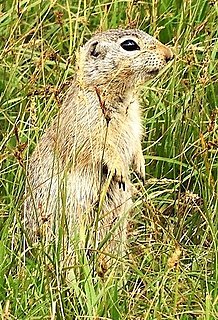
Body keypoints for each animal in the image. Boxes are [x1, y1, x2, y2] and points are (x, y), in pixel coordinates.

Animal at [24, 28, 174, 262]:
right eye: (129, 45)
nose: (169, 55)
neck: (118, 95)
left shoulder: (134, 122)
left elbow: (135, 144)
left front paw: (140, 168)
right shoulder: (86, 123)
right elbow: (99, 147)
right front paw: (120, 171)